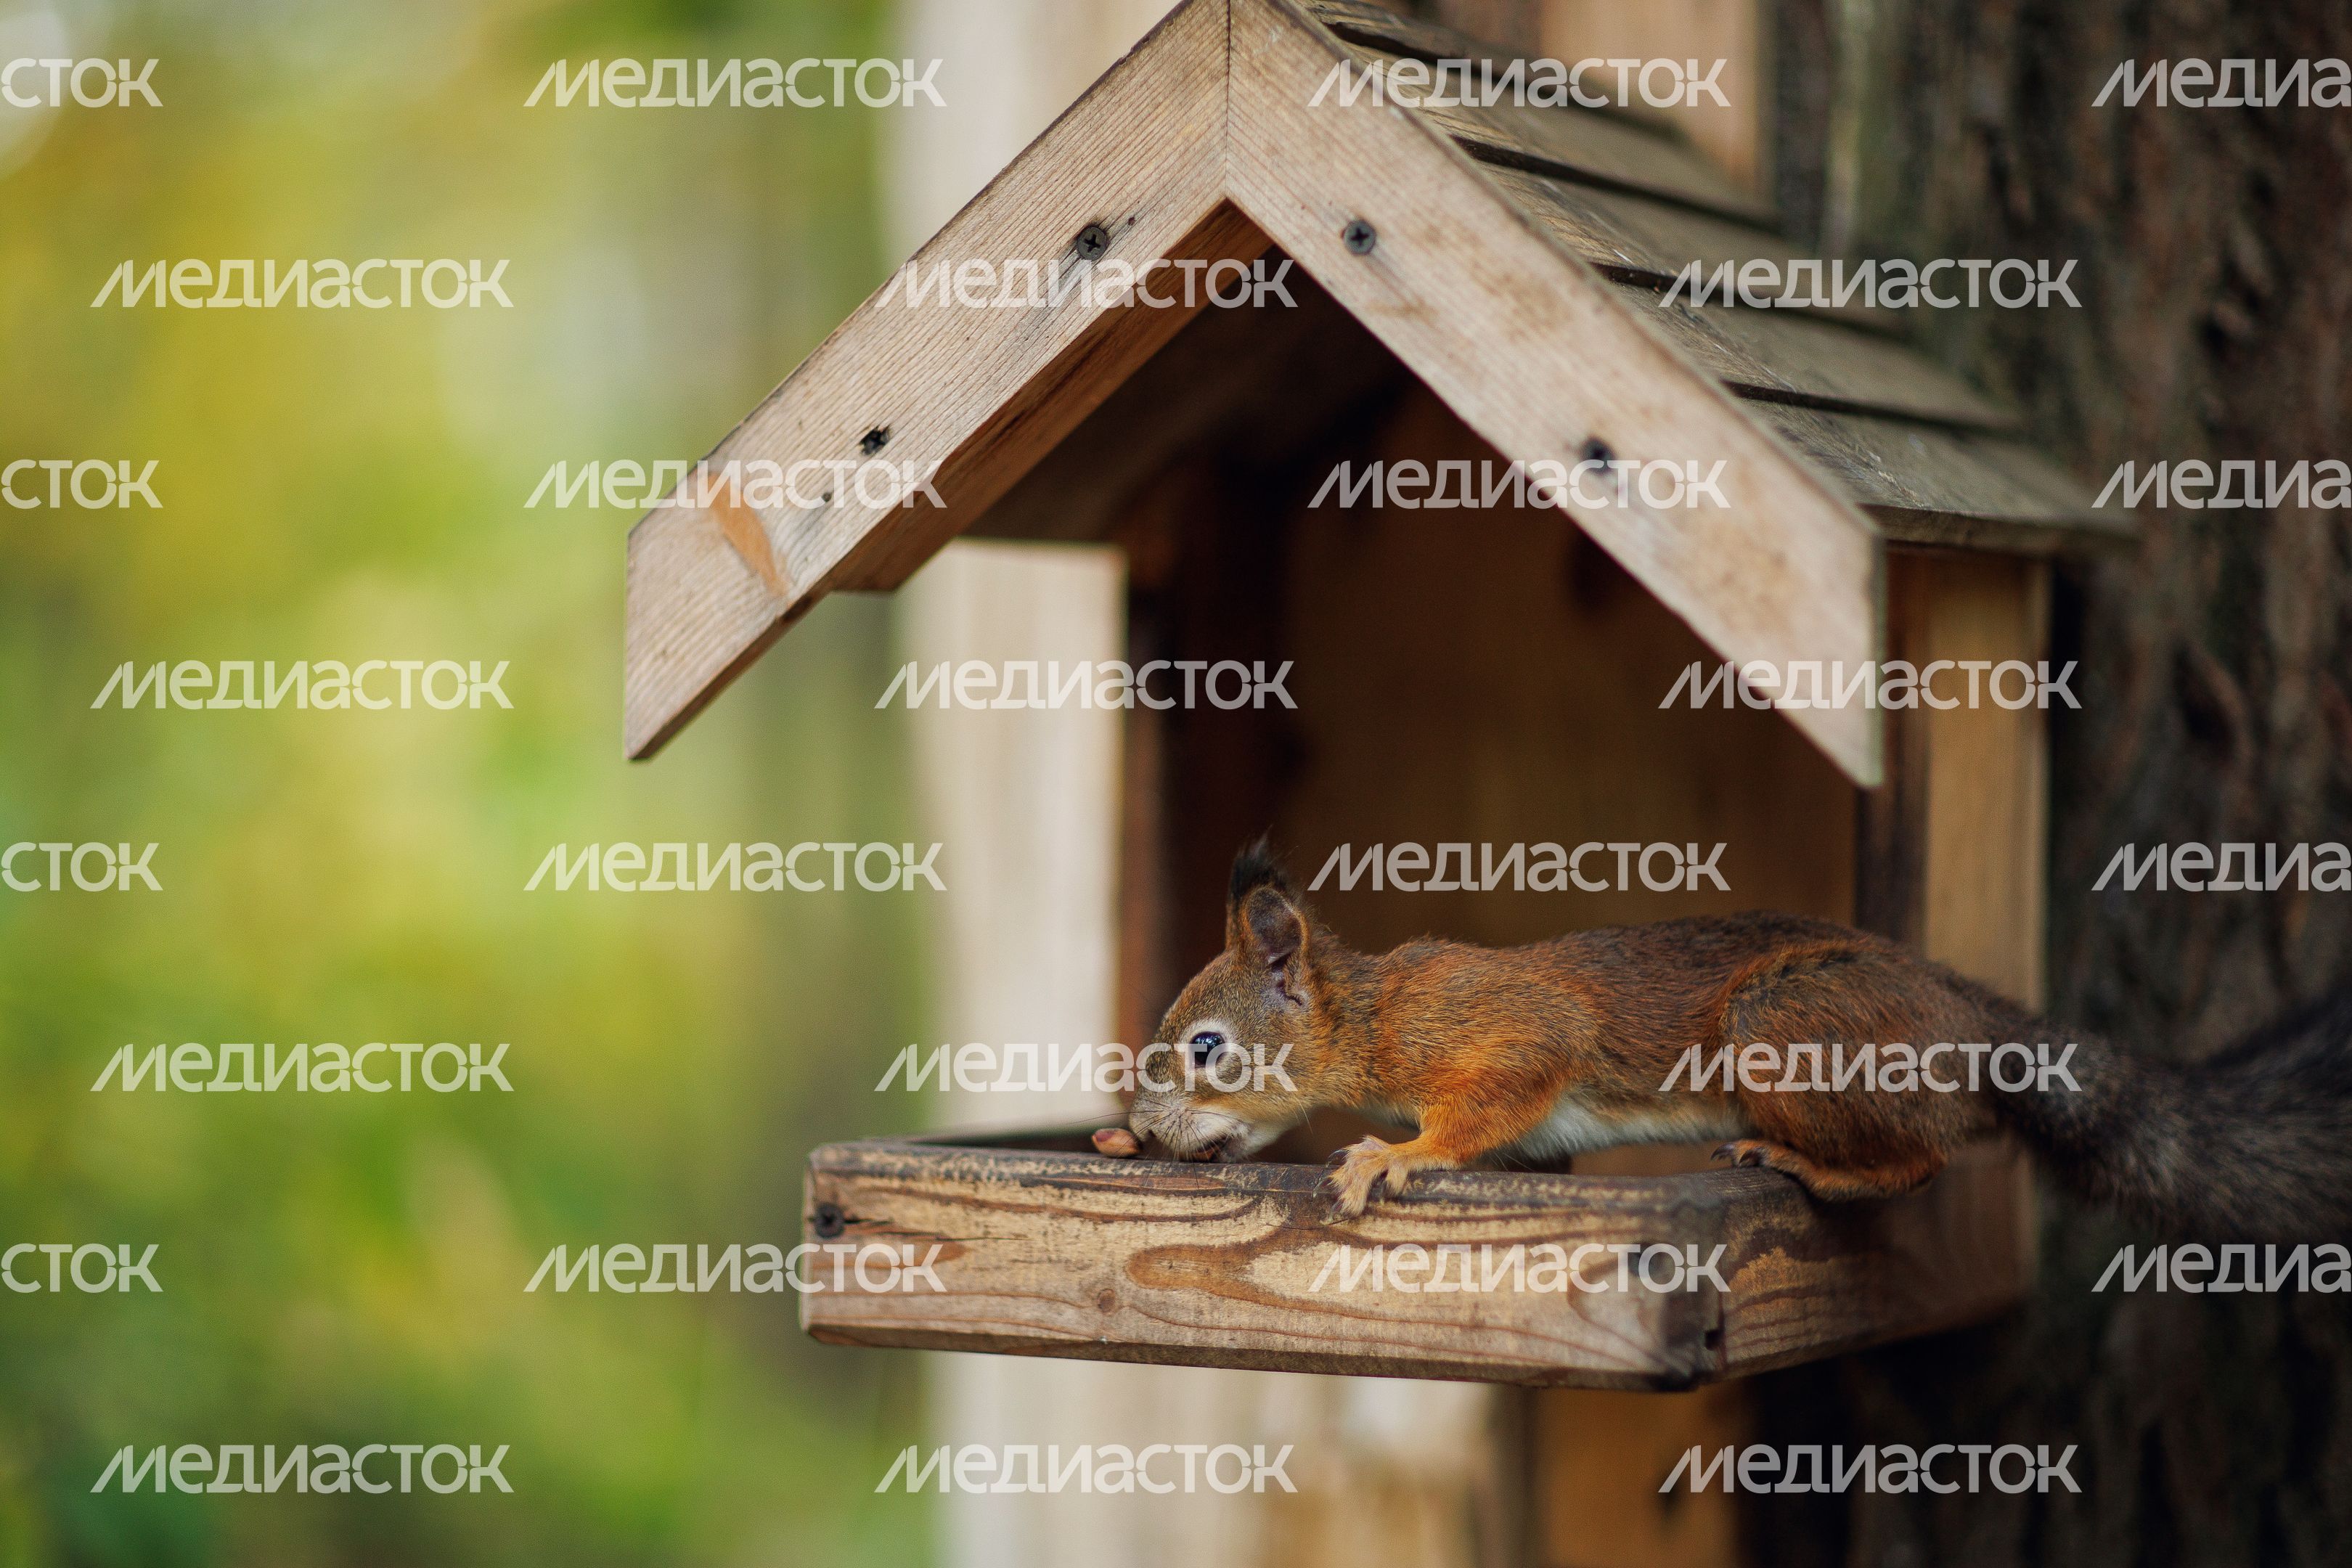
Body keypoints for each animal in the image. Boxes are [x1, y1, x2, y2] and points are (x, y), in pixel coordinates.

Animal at [1110, 841, 2352, 1241]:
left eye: (1207, 1046)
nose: (1139, 1126)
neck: (1370, 1018)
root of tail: (1971, 1022)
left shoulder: (1494, 1030)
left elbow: (1493, 1098)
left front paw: (1392, 1156)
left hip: (1791, 1029)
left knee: (1923, 1156)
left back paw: (1810, 1163)